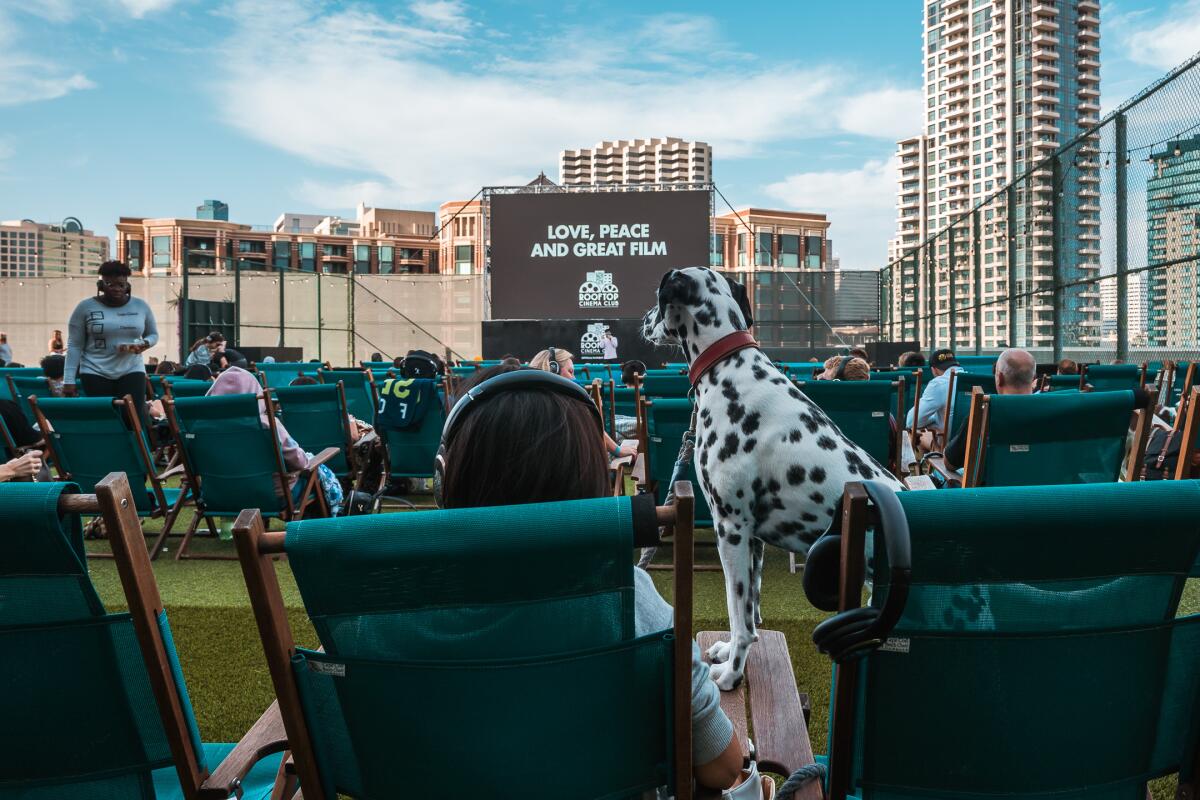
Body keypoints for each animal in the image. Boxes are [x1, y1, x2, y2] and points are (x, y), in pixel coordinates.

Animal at [648, 266, 902, 690]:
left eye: (656, 299)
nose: (644, 320)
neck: (728, 370)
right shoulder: (754, 540)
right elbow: (750, 613)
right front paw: (730, 654)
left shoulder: (730, 529)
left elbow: (737, 614)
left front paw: (731, 674)